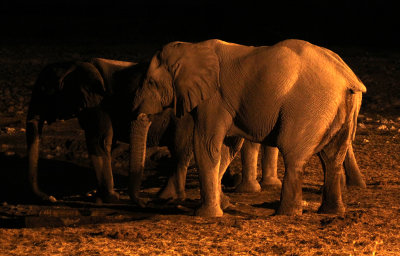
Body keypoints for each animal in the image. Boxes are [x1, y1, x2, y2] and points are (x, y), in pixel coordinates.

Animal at [130, 39, 366, 217]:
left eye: (150, 83)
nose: (144, 204)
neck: (192, 47)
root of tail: (348, 77)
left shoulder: (215, 99)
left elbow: (207, 146)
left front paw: (206, 214)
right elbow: (226, 149)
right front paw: (223, 204)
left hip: (308, 106)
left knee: (294, 157)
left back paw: (285, 214)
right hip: (345, 105)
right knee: (332, 158)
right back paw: (332, 212)